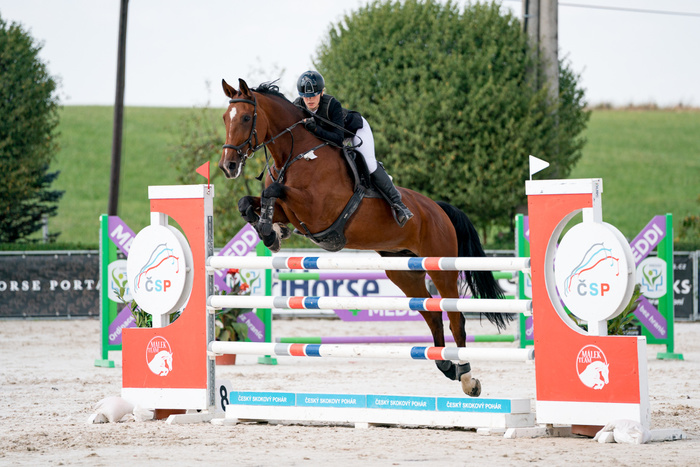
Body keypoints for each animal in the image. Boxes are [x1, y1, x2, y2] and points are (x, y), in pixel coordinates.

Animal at [218, 78, 512, 396]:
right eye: (225, 118)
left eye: (245, 118)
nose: (228, 166)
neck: (298, 153)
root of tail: (438, 208)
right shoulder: (294, 211)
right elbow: (249, 203)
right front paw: (271, 232)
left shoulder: (316, 210)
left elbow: (272, 191)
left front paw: (270, 231)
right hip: (403, 270)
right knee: (432, 313)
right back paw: (446, 365)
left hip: (441, 266)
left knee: (456, 317)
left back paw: (467, 378)